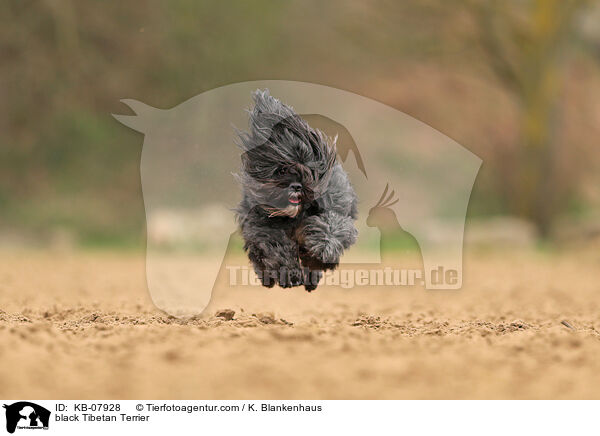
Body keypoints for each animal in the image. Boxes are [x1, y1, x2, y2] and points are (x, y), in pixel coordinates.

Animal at [234, 89, 356, 292]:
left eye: (307, 168)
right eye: (282, 169)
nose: (297, 185)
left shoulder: (334, 210)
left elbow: (329, 227)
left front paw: (323, 250)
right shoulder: (262, 226)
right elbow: (277, 248)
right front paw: (290, 275)